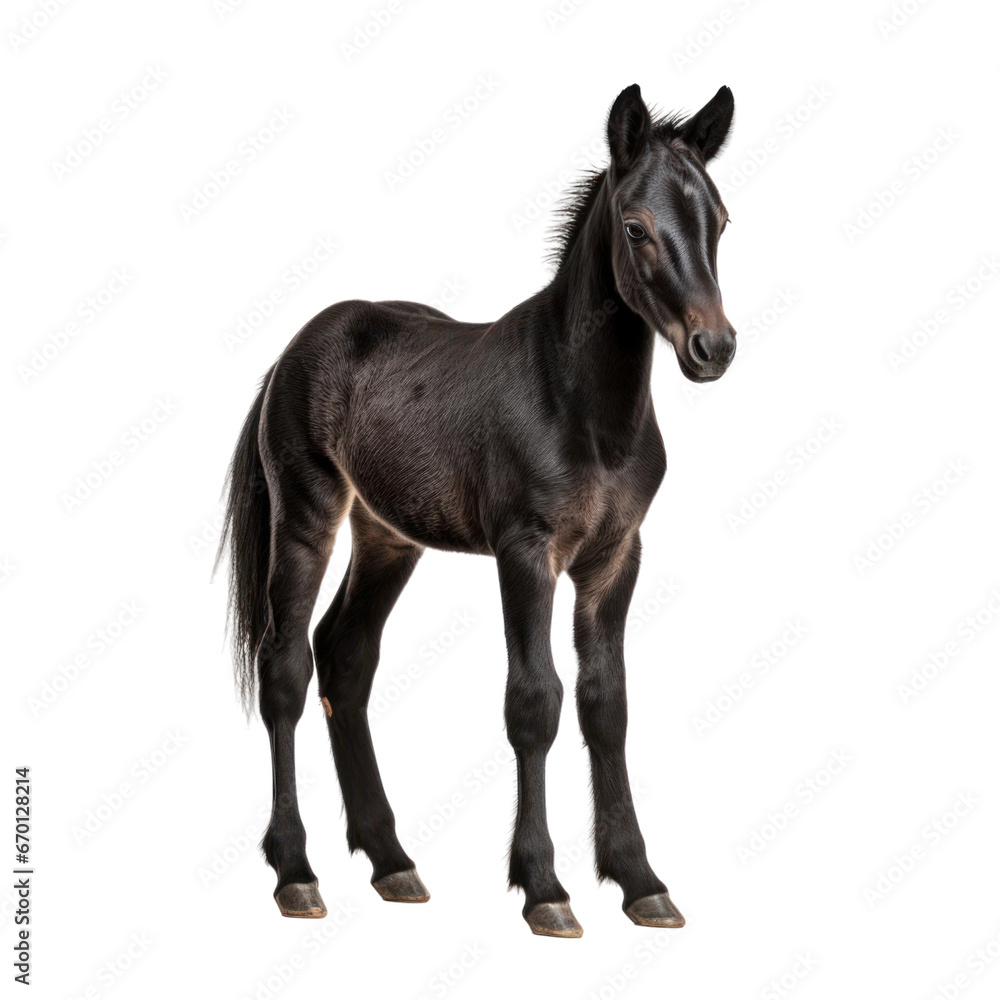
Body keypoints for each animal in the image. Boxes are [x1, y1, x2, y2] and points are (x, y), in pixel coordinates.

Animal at [217, 83, 737, 938]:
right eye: (636, 228)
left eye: (720, 221)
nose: (713, 348)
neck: (588, 409)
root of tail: (294, 348)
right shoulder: (527, 552)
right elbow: (534, 702)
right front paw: (545, 888)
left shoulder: (615, 558)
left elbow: (607, 705)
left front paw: (640, 882)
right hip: (305, 516)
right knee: (286, 668)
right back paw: (296, 872)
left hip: (388, 536)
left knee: (345, 655)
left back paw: (392, 861)